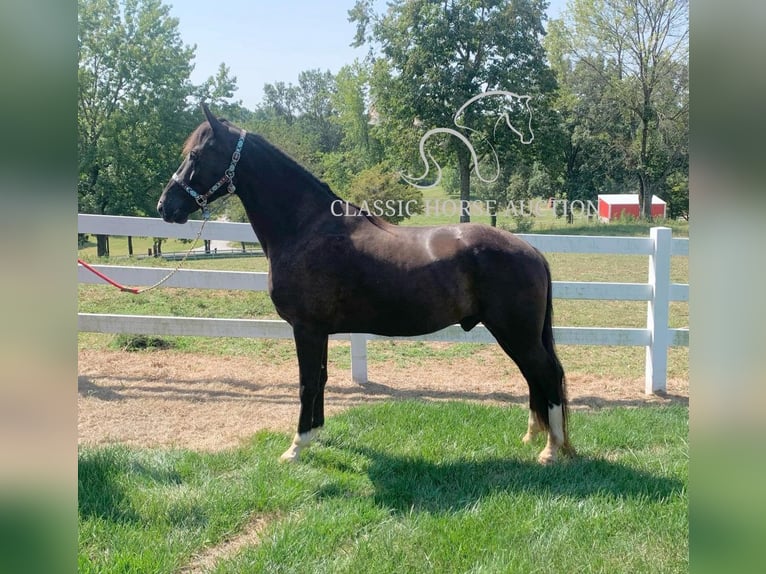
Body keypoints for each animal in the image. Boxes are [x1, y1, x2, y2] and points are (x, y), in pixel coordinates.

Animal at [158, 104, 576, 464]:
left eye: (197, 155)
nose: (166, 206)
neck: (305, 228)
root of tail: (531, 251)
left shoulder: (306, 329)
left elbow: (307, 382)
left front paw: (296, 447)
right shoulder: (319, 331)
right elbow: (321, 379)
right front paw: (317, 435)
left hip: (516, 332)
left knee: (547, 374)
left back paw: (551, 449)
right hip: (516, 333)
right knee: (534, 376)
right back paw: (535, 436)